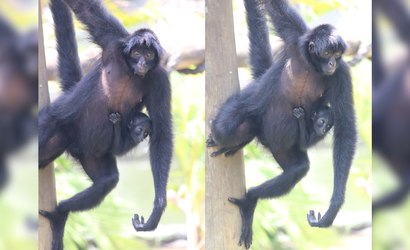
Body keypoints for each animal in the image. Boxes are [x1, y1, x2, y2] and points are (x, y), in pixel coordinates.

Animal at [39, 0, 172, 249]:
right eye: (137, 52)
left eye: (149, 54)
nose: (142, 61)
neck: (131, 72)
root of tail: (76, 144)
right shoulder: (113, 40)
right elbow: (84, 8)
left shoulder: (159, 78)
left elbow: (162, 131)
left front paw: (158, 207)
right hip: (57, 125)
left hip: (92, 151)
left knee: (107, 181)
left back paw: (60, 213)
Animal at [208, 0, 356, 247]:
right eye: (327, 52)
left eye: (337, 54)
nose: (332, 62)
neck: (312, 67)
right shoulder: (295, 36)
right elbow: (272, 6)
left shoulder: (340, 73)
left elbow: (345, 128)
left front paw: (334, 207)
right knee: (225, 127)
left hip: (283, 147)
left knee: (298, 168)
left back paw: (250, 200)